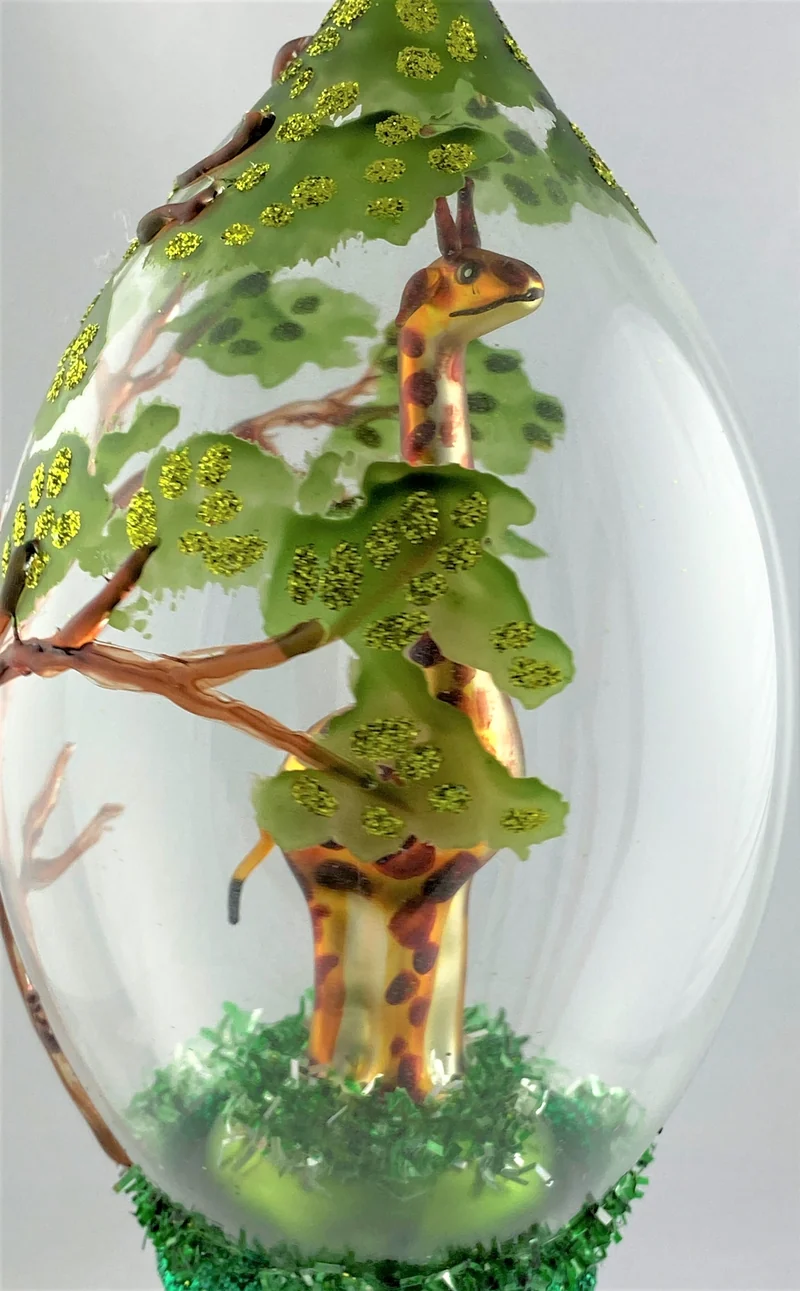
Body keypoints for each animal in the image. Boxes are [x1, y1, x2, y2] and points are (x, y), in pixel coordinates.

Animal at [230, 180, 545, 1101]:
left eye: (500, 250)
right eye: (466, 269)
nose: (530, 282)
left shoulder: (457, 875)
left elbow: (437, 995)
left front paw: (440, 1094)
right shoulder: (414, 882)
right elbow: (406, 992)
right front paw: (404, 1102)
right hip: (324, 877)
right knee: (335, 983)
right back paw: (328, 1081)